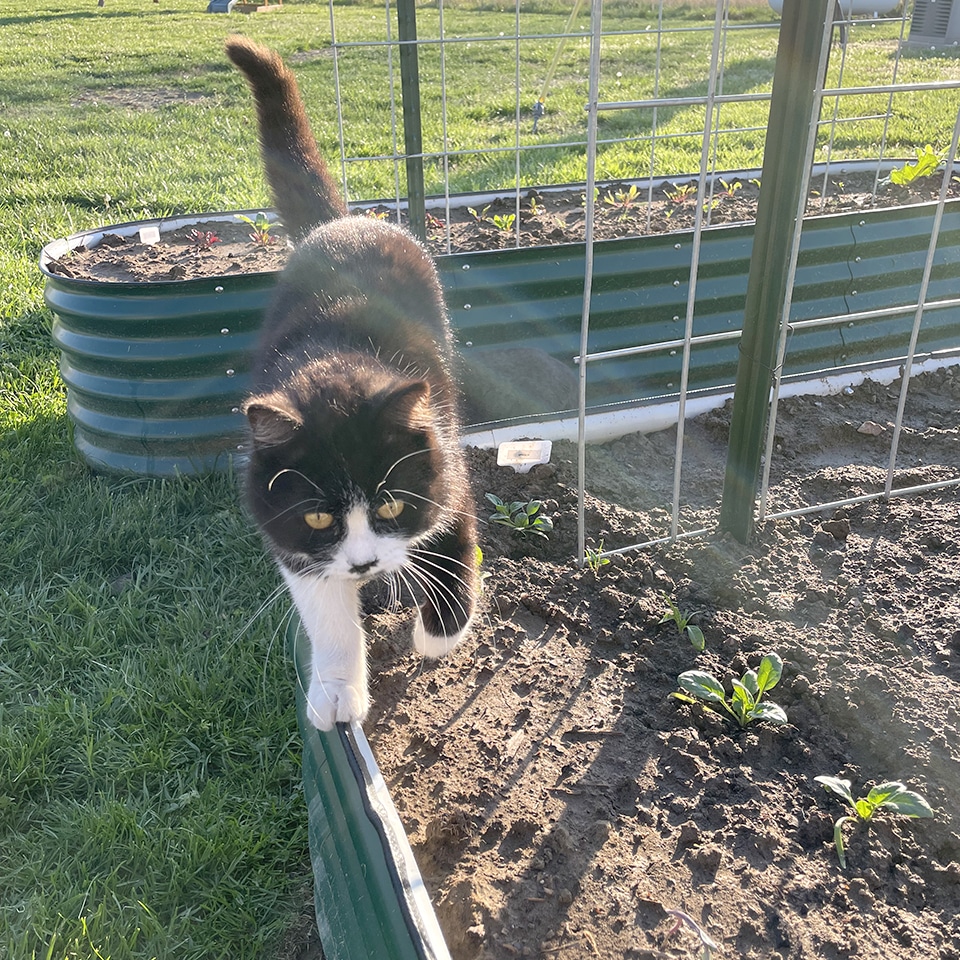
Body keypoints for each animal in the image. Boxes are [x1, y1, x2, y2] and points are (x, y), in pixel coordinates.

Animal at [226, 35, 480, 728]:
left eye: (390, 504)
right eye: (318, 517)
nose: (364, 563)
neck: (338, 364)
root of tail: (343, 222)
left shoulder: (443, 452)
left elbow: (455, 532)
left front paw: (438, 632)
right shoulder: (285, 527)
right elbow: (323, 604)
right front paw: (338, 689)